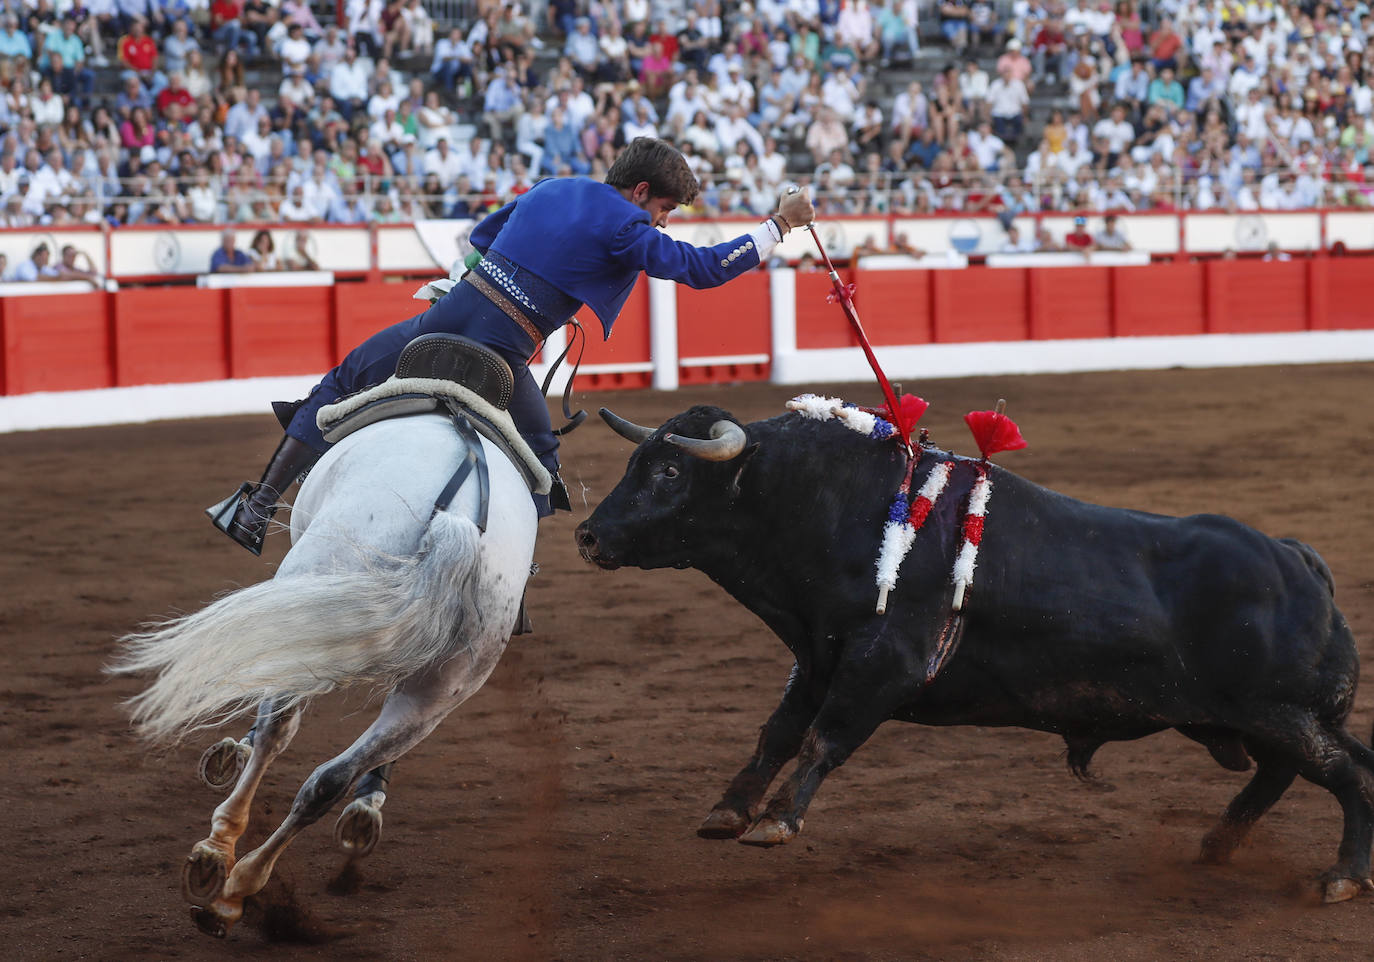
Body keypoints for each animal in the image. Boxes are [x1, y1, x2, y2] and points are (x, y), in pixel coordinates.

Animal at [114, 401, 541, 934]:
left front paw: (232, 753)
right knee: (329, 780)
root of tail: (459, 518)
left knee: (277, 731)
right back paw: (238, 888)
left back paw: (215, 855)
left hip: (310, 597)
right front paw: (366, 807)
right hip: (440, 688)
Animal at [577, 404, 1374, 901]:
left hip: (1277, 712)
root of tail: (1299, 559)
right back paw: (1218, 843)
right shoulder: (819, 656)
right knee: (1295, 771)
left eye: (670, 473)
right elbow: (777, 733)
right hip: (1254, 720)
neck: (819, 504)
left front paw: (777, 821)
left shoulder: (882, 664)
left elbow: (825, 739)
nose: (587, 534)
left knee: (1345, 774)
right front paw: (730, 810)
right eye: (637, 463)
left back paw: (1341, 877)